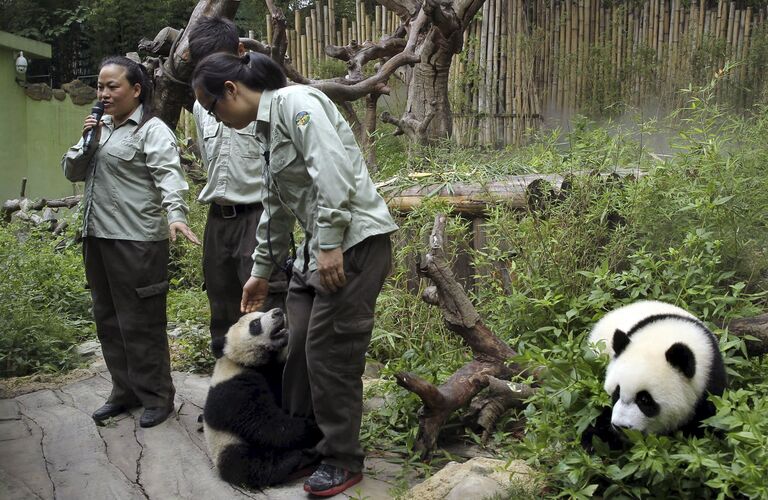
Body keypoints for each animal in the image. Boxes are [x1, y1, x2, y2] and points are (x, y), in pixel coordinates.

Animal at [201, 308, 320, 488]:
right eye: (255, 324)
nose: (278, 311)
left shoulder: (275, 370)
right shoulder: (233, 389)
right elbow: (263, 422)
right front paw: (312, 428)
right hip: (226, 443)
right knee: (246, 464)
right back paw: (291, 460)